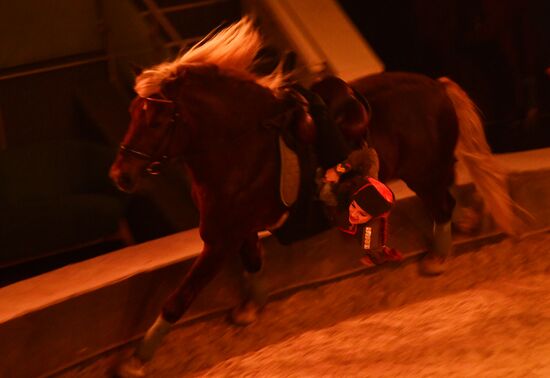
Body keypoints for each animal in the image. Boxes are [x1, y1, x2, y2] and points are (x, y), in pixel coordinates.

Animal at [109, 17, 528, 376]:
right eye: (131, 112)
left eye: (156, 121)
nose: (120, 175)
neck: (240, 145)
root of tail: (438, 86)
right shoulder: (240, 230)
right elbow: (253, 264)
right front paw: (251, 309)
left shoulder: (219, 240)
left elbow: (178, 299)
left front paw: (135, 362)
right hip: (432, 168)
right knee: (454, 192)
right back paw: (468, 223)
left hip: (424, 173)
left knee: (442, 205)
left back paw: (438, 258)